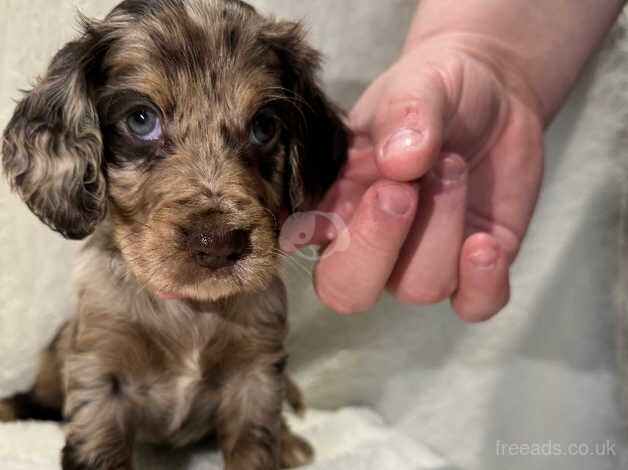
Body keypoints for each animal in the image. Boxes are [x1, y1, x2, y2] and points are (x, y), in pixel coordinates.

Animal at [0, 0, 346, 470]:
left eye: (264, 126)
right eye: (141, 120)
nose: (218, 244)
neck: (189, 309)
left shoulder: (256, 372)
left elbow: (257, 441)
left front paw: (280, 442)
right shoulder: (98, 372)